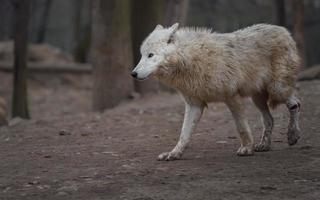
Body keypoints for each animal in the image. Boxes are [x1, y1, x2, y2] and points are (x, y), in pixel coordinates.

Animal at [131, 23, 302, 161]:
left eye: (150, 55)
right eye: (142, 55)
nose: (133, 73)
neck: (190, 60)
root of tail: (284, 30)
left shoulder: (231, 96)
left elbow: (241, 127)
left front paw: (247, 148)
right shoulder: (194, 104)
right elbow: (184, 134)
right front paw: (174, 154)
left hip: (277, 89)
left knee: (296, 104)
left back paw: (292, 135)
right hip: (257, 98)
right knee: (269, 119)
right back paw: (264, 145)